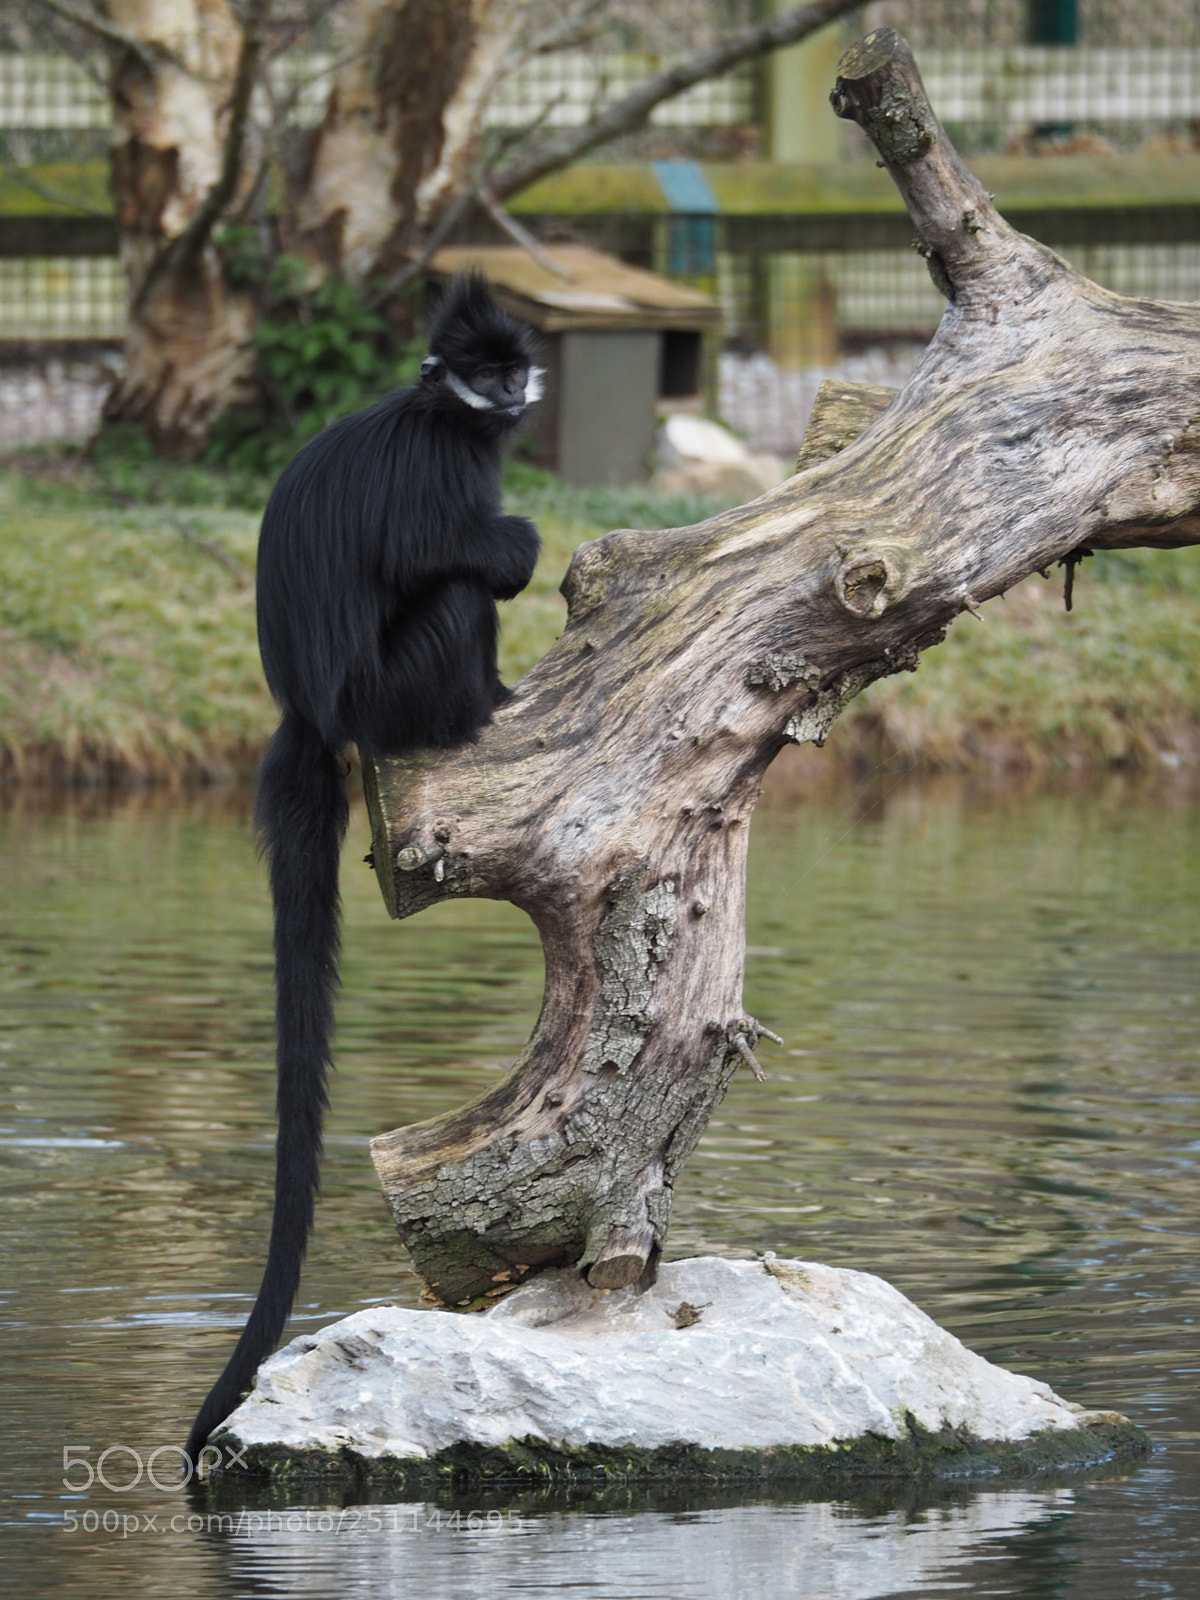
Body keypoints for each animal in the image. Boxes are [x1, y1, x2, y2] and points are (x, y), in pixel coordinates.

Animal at [184, 274, 542, 1465]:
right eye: (485, 373)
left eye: (514, 366)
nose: (513, 394)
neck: (440, 415)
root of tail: (311, 707)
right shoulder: (444, 465)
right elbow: (450, 553)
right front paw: (516, 548)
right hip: (393, 688)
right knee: (458, 594)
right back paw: (483, 704)